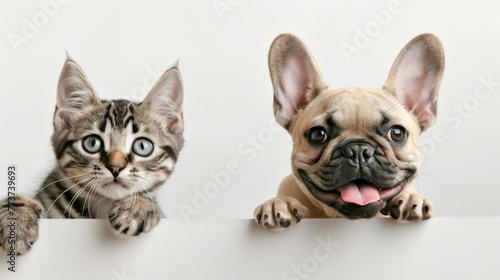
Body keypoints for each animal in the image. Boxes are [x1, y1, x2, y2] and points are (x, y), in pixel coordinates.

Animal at [0, 58, 184, 255]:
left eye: (142, 146)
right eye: (92, 143)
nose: (116, 167)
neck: (103, 206)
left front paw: (138, 207)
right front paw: (15, 220)